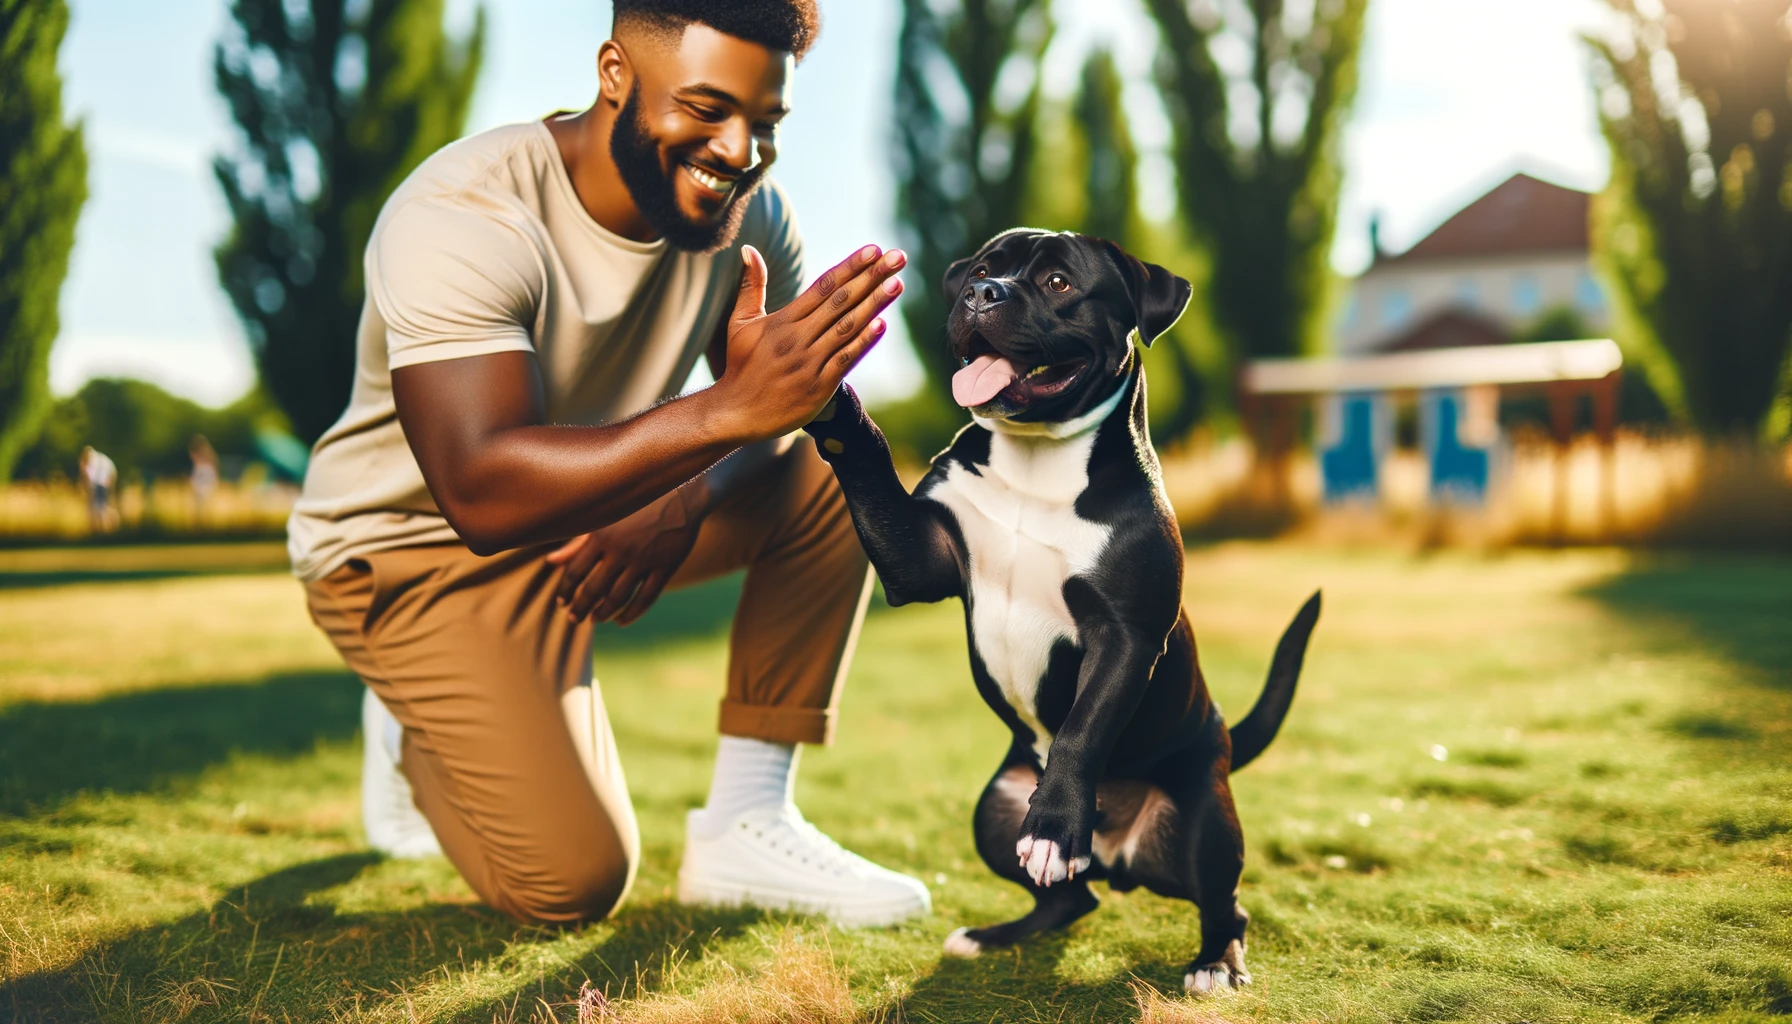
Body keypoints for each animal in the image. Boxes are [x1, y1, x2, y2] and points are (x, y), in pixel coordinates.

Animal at [799, 225, 1318, 997]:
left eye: (1058, 283)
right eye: (981, 271)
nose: (983, 293)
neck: (1037, 461)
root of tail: (1114, 854)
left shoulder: (1125, 635)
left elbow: (1082, 728)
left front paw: (1053, 825)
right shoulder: (919, 557)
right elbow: (864, 460)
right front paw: (829, 390)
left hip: (1204, 819)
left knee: (1223, 903)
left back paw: (1213, 962)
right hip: (993, 811)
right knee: (1072, 898)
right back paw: (992, 935)